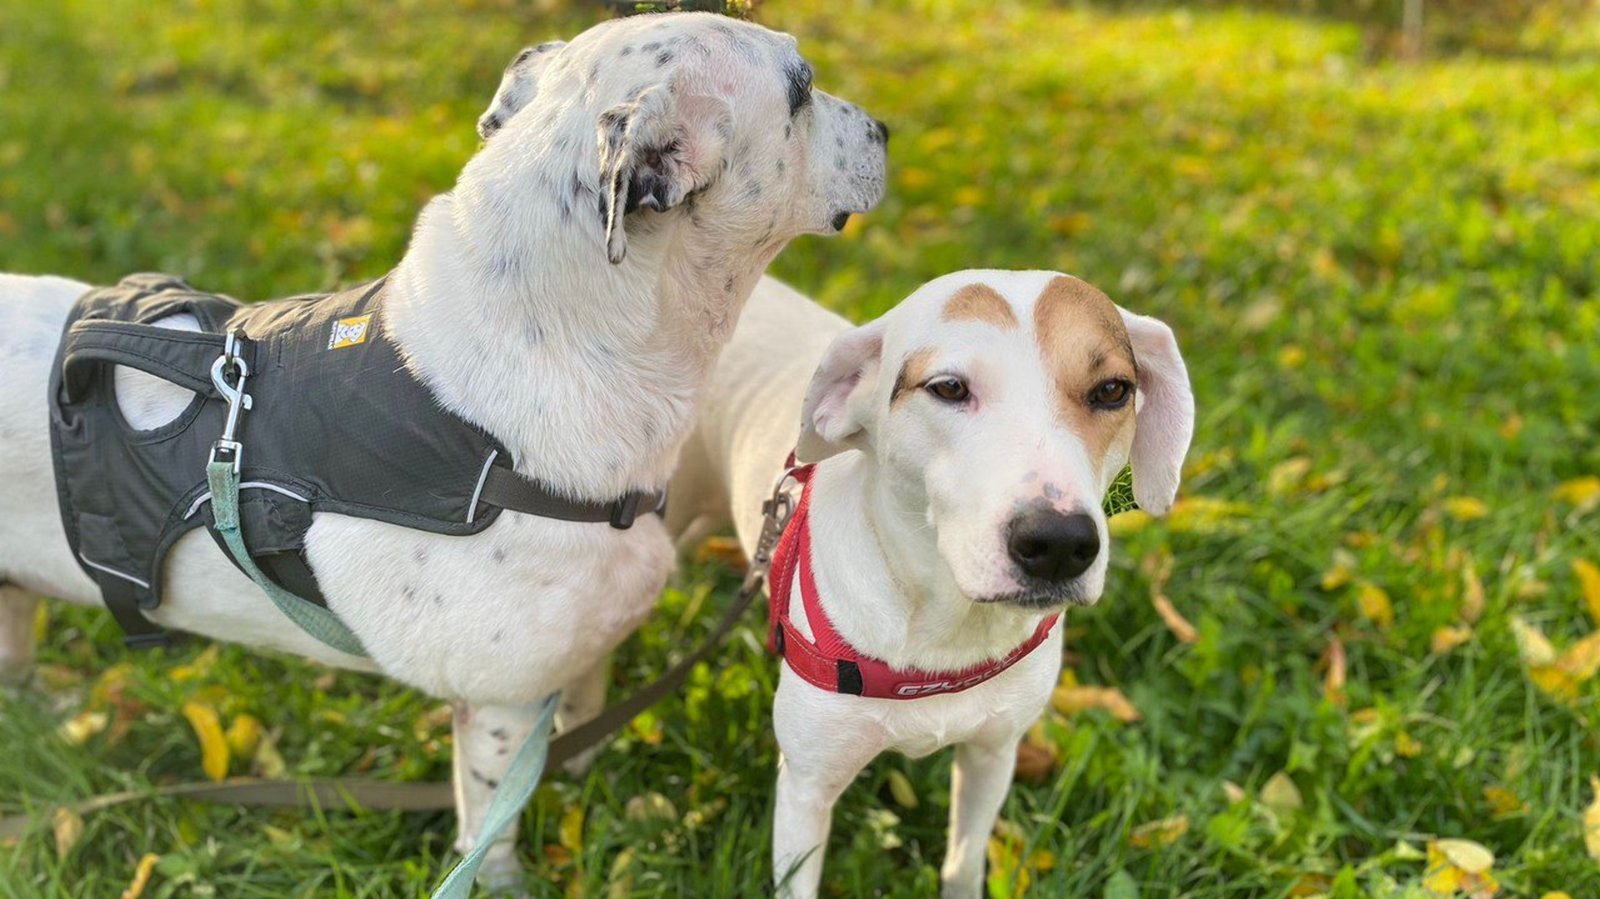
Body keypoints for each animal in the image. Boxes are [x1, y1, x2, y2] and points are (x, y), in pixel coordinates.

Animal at [668, 271, 1196, 895]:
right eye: (948, 388)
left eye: (1113, 390)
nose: (1060, 544)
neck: (943, 629)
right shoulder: (807, 788)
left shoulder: (994, 754)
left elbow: (964, 860)